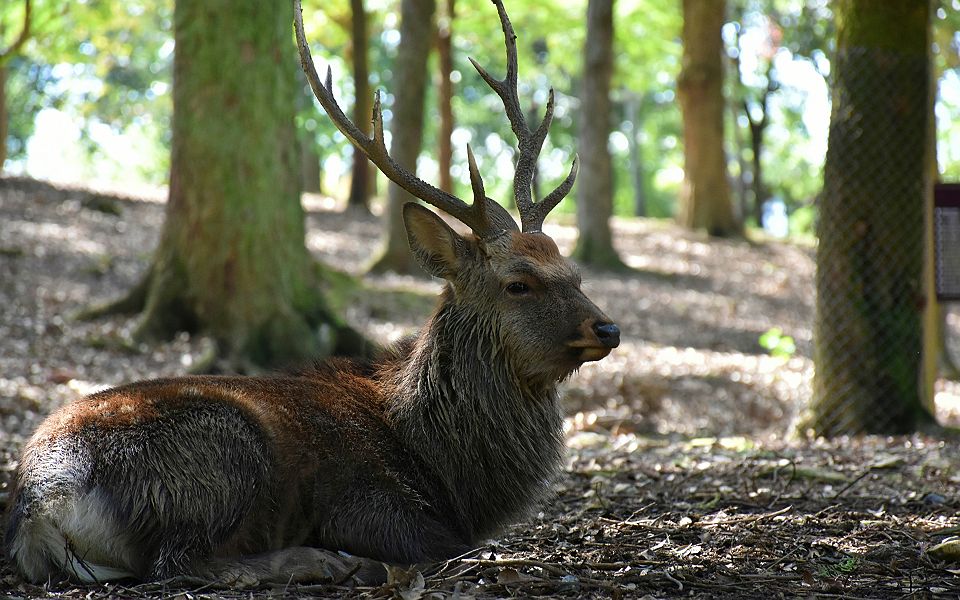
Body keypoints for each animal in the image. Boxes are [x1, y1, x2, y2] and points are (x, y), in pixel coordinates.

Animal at [4, 0, 619, 587]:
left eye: (574, 272)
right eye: (518, 283)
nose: (608, 327)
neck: (448, 472)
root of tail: (38, 507)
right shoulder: (369, 503)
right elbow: (447, 545)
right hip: (222, 452)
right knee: (180, 564)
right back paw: (327, 562)